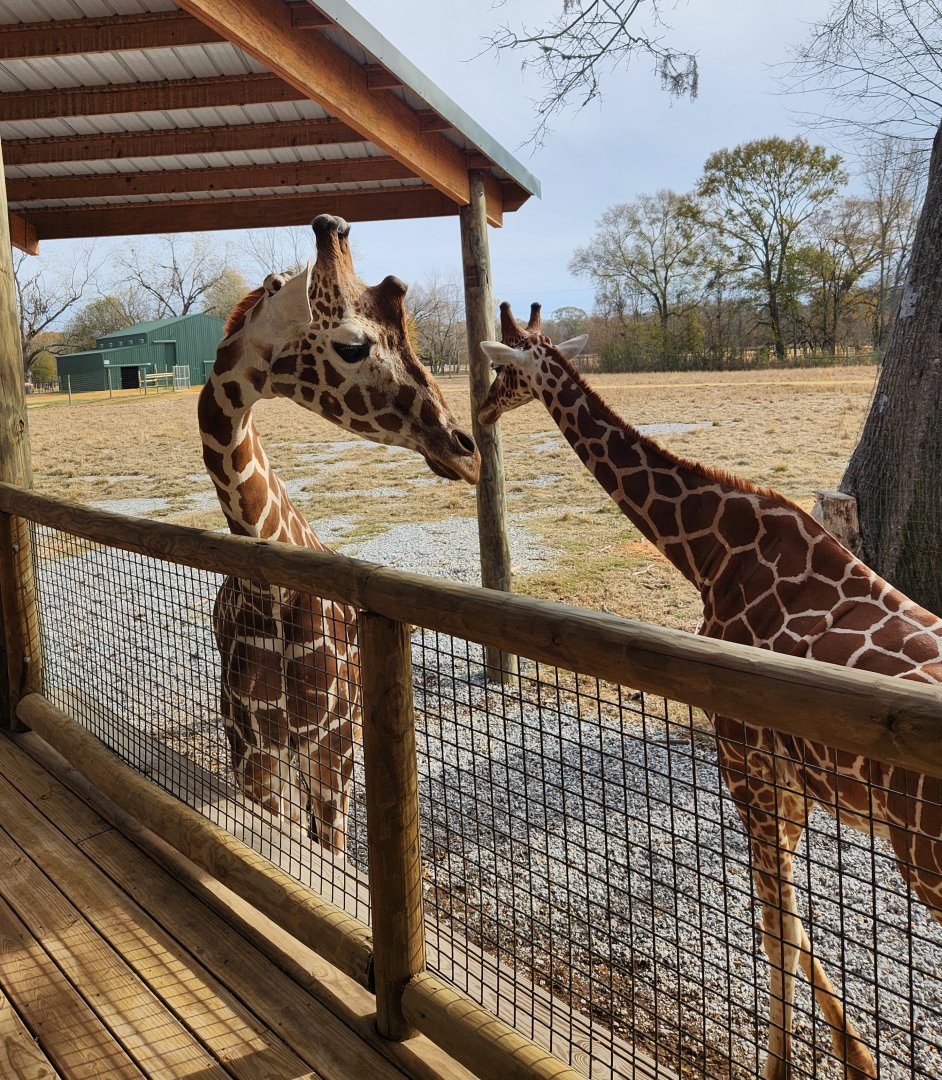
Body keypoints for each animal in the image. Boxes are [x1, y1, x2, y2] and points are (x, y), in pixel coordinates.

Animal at [478, 301, 942, 1080]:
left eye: (503, 371)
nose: (477, 413)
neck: (709, 555)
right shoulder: (786, 779)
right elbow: (786, 921)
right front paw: (856, 1058)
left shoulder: (744, 758)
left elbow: (777, 927)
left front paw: (793, 1065)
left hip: (929, 864)